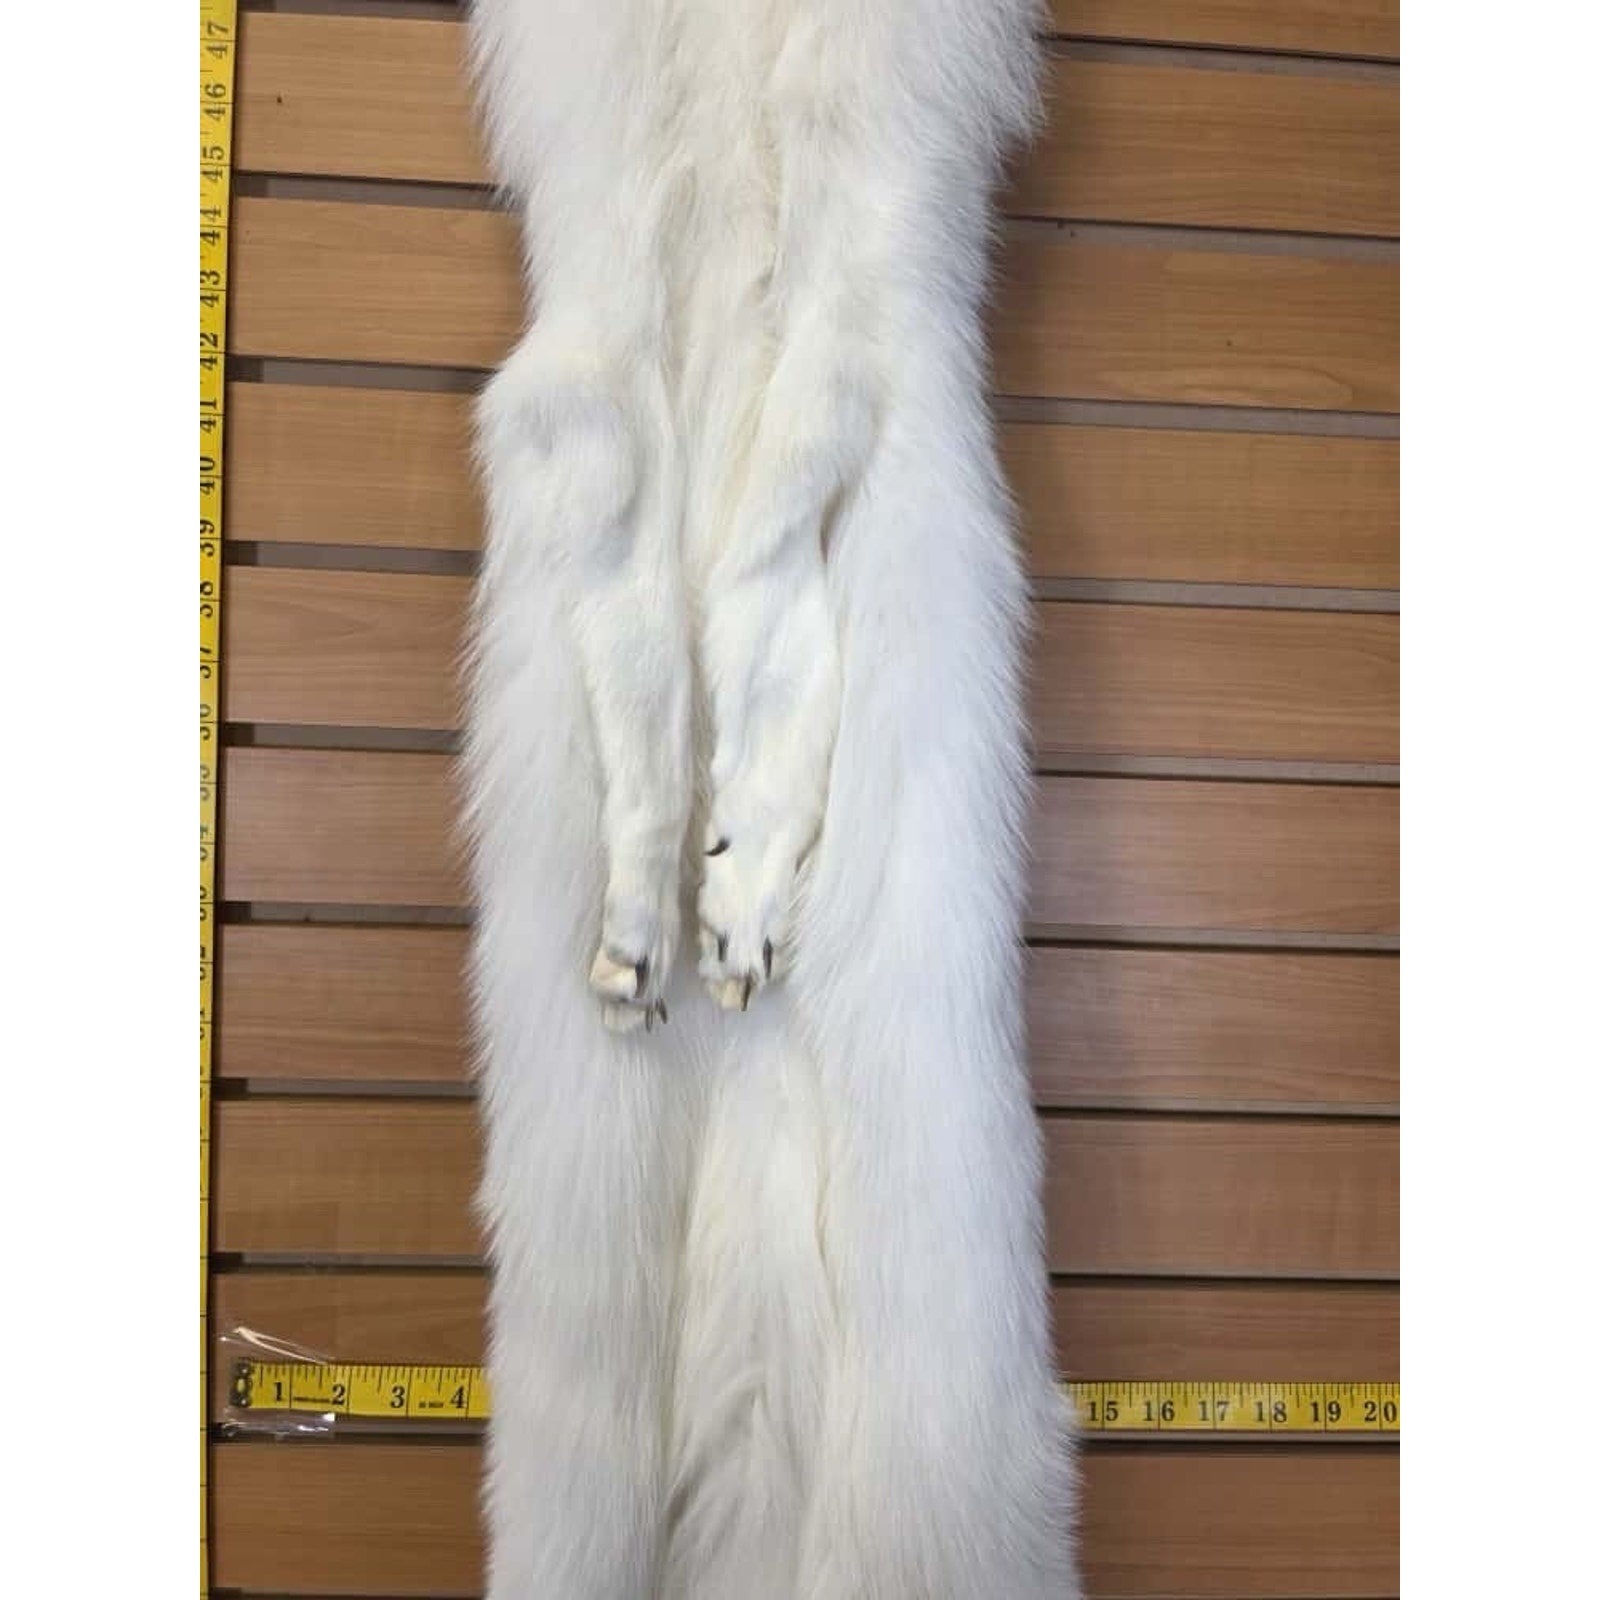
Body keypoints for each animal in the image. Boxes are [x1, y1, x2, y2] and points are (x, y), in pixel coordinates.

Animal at [460, 1, 1080, 1595]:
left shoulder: (851, 316)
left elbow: (771, 617)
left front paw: (738, 884)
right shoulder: (596, 373)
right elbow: (653, 645)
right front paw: (657, 913)